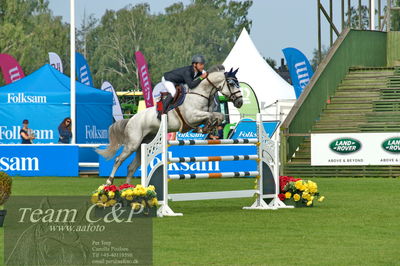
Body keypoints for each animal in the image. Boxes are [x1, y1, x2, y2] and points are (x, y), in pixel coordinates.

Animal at [98, 64, 242, 185]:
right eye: (231, 83)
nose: (240, 102)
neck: (201, 93)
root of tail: (131, 119)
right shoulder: (192, 116)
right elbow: (210, 116)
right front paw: (205, 129)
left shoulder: (203, 115)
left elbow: (218, 116)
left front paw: (208, 128)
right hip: (132, 144)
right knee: (118, 160)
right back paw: (109, 182)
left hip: (143, 144)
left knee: (131, 167)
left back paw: (129, 188)